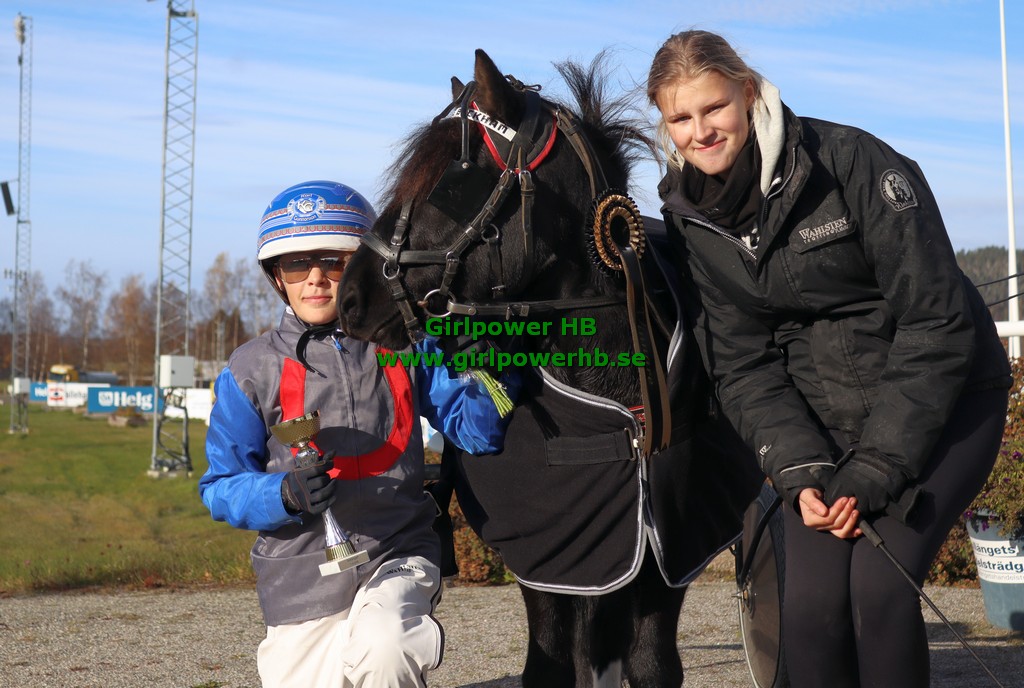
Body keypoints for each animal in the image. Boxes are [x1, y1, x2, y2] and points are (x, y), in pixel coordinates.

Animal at [338, 49, 762, 687]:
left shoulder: (666, 547)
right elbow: (552, 660)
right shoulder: (556, 558)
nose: (351, 298)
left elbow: (650, 660)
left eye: (450, 181)